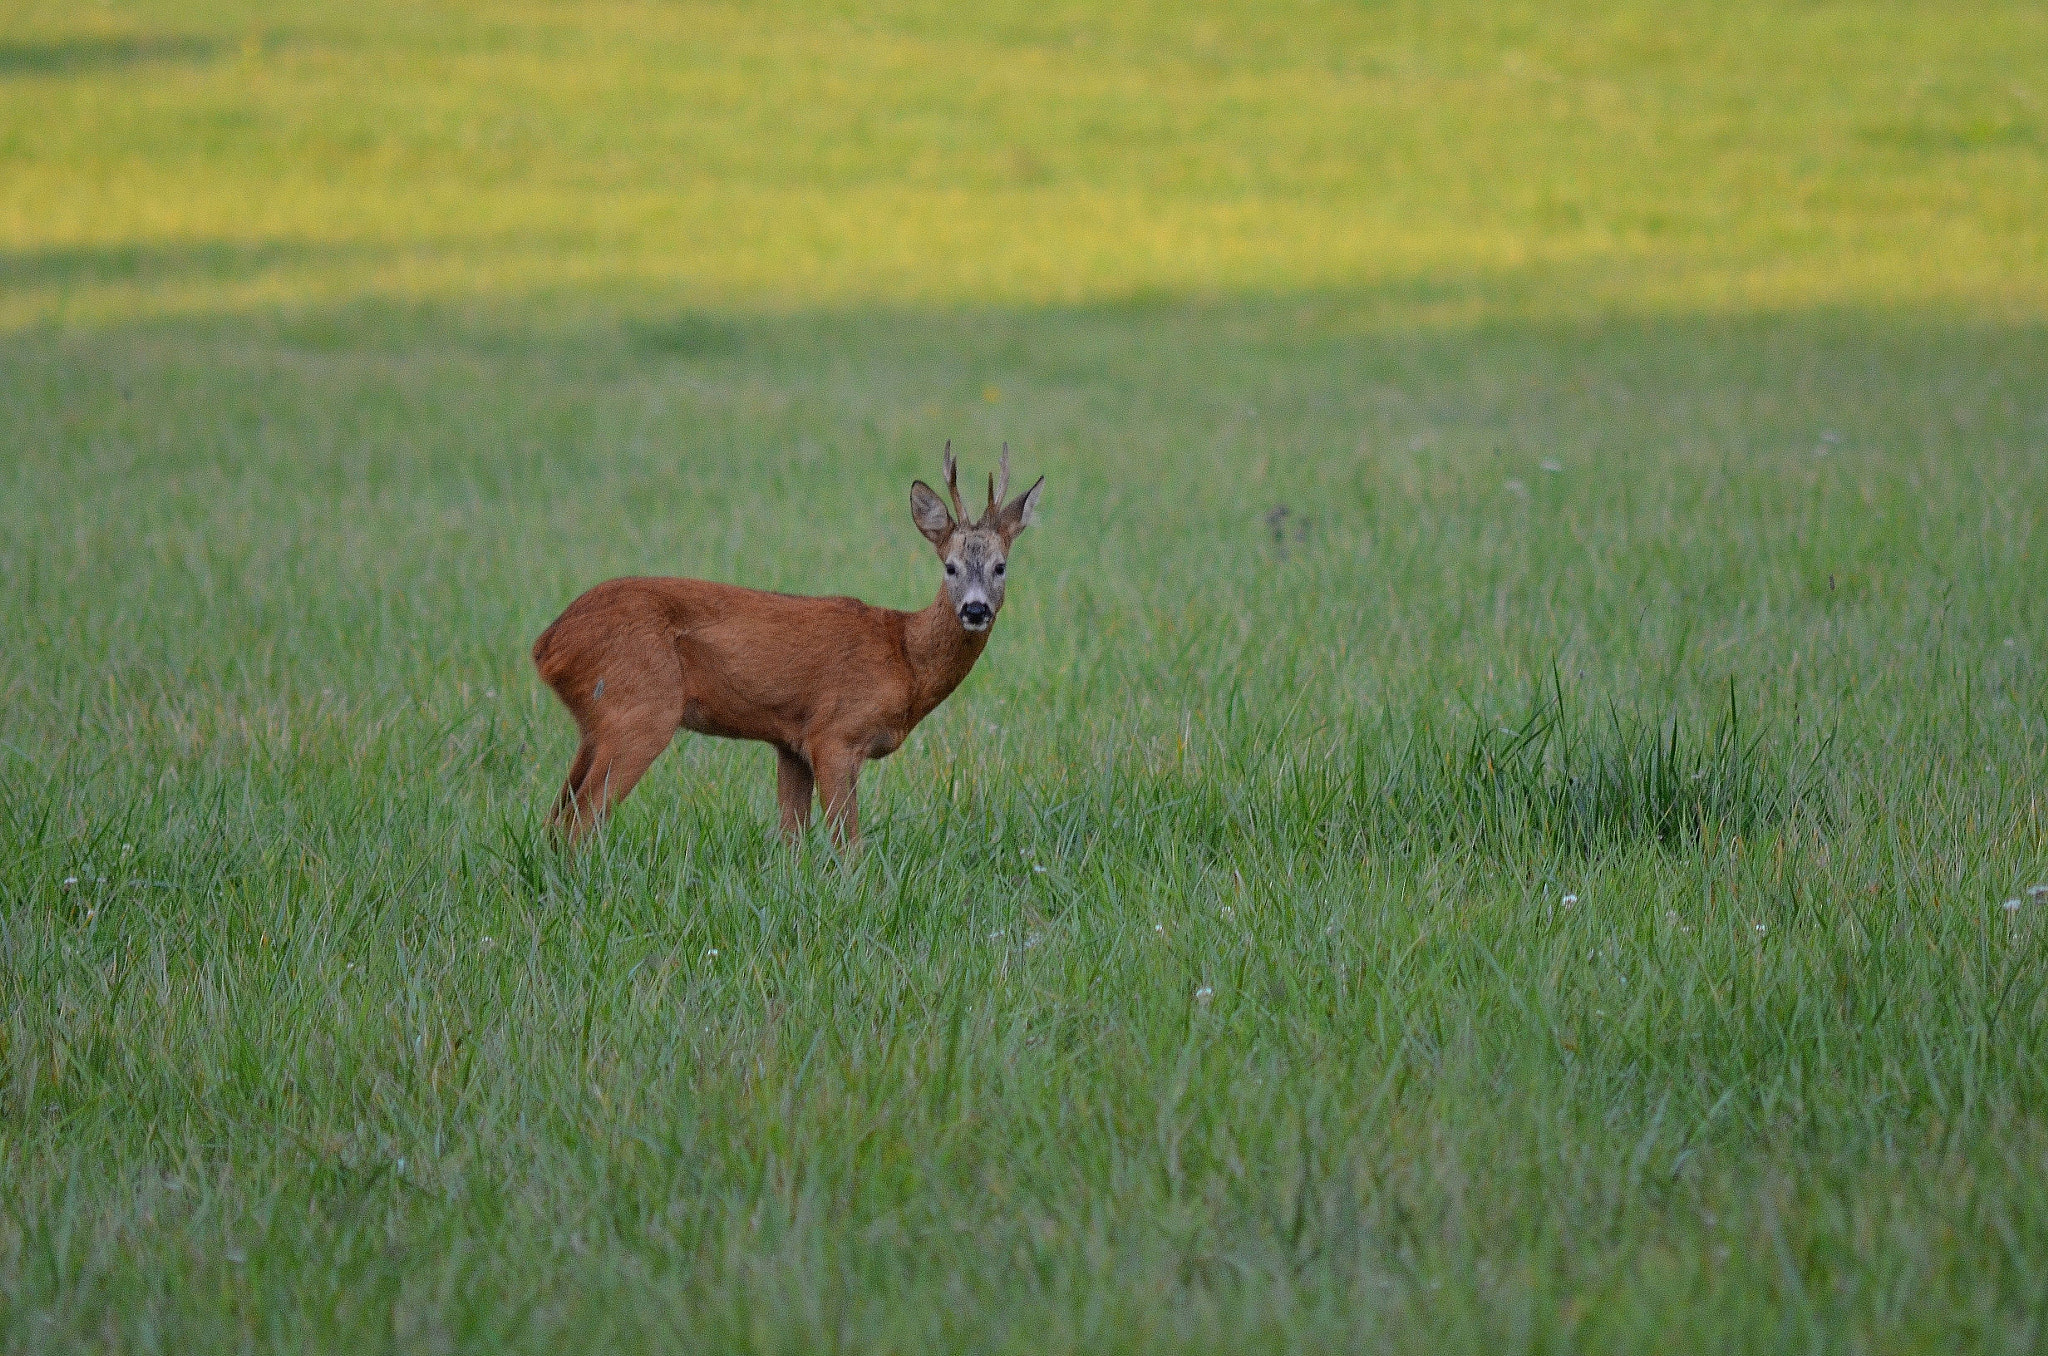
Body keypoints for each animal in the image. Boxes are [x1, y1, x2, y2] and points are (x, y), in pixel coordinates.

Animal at [532, 446, 1040, 852]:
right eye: (950, 566)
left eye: (1000, 566)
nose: (975, 609)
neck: (905, 658)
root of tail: (546, 644)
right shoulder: (835, 733)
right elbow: (847, 844)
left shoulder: (791, 743)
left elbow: (791, 840)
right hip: (640, 708)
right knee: (579, 821)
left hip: (596, 722)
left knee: (555, 818)